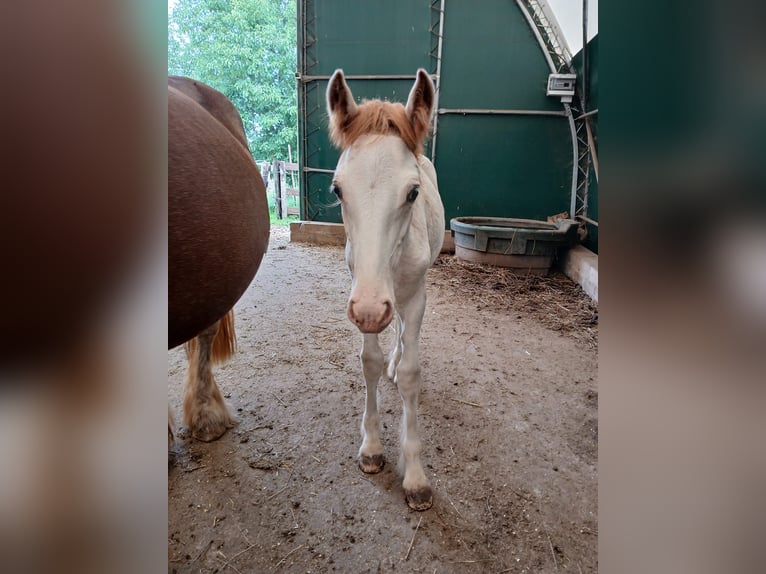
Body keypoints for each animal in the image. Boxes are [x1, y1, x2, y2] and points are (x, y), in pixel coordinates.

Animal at [328, 68, 448, 512]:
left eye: (413, 192)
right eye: (338, 190)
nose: (369, 310)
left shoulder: (412, 298)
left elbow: (412, 372)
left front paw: (414, 476)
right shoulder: (363, 292)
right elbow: (369, 362)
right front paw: (372, 447)